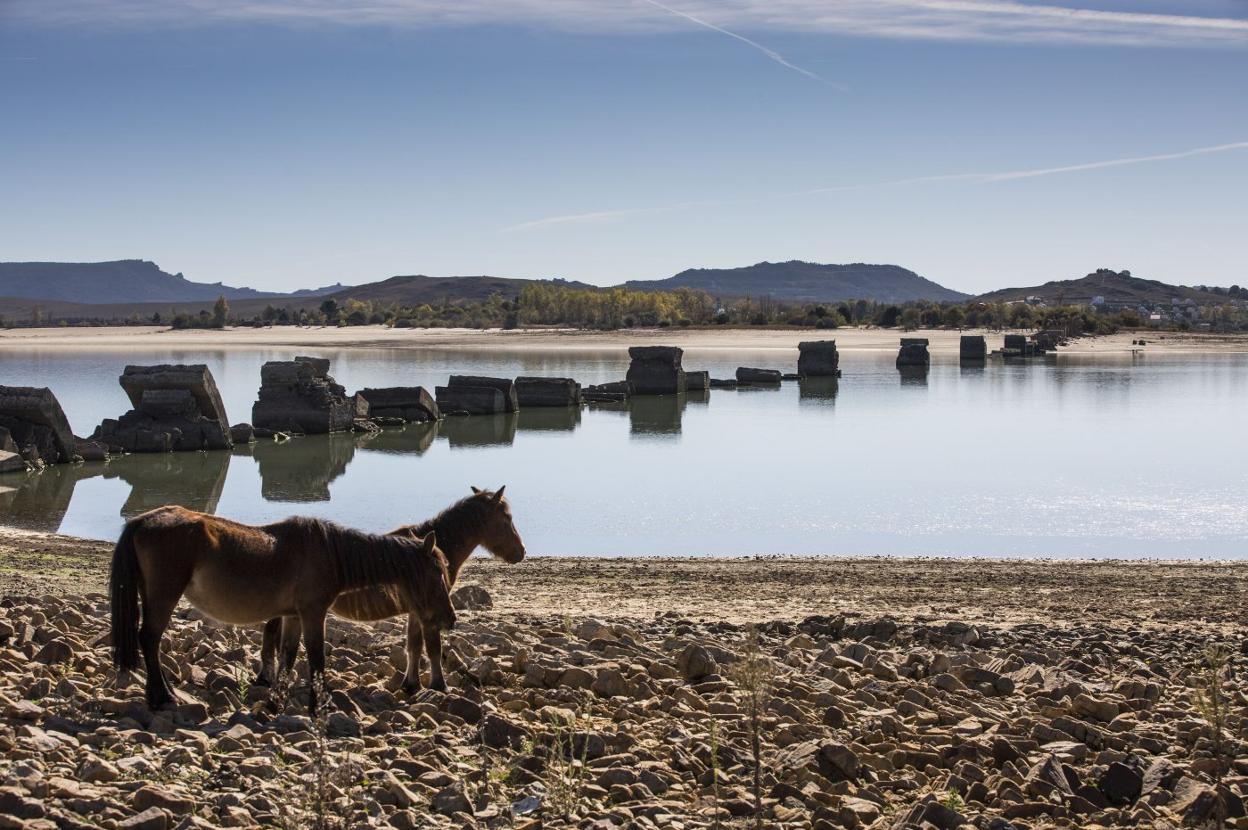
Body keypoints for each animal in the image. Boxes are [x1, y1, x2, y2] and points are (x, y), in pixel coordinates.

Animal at [111, 504, 454, 713]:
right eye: (438, 574)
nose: (449, 619)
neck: (331, 554)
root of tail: (143, 521)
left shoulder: (293, 616)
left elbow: (287, 656)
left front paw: (276, 702)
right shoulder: (313, 613)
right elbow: (316, 658)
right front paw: (319, 704)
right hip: (163, 595)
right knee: (150, 639)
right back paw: (162, 696)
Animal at [258, 486, 521, 693]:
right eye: (507, 518)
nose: (522, 552)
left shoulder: (416, 610)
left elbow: (414, 645)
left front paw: (411, 684)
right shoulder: (429, 611)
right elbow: (433, 648)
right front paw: (439, 685)